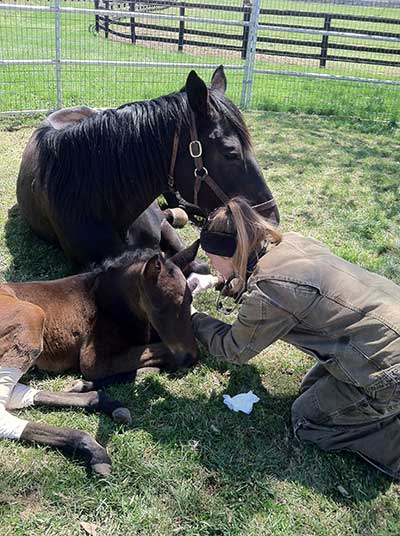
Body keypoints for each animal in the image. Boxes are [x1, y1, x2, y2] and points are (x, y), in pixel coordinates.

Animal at [0, 241, 199, 476]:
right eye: (161, 307)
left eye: (190, 300)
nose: (191, 356)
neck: (107, 300)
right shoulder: (93, 361)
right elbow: (162, 352)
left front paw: (84, 386)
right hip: (31, 317)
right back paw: (92, 448)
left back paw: (104, 404)